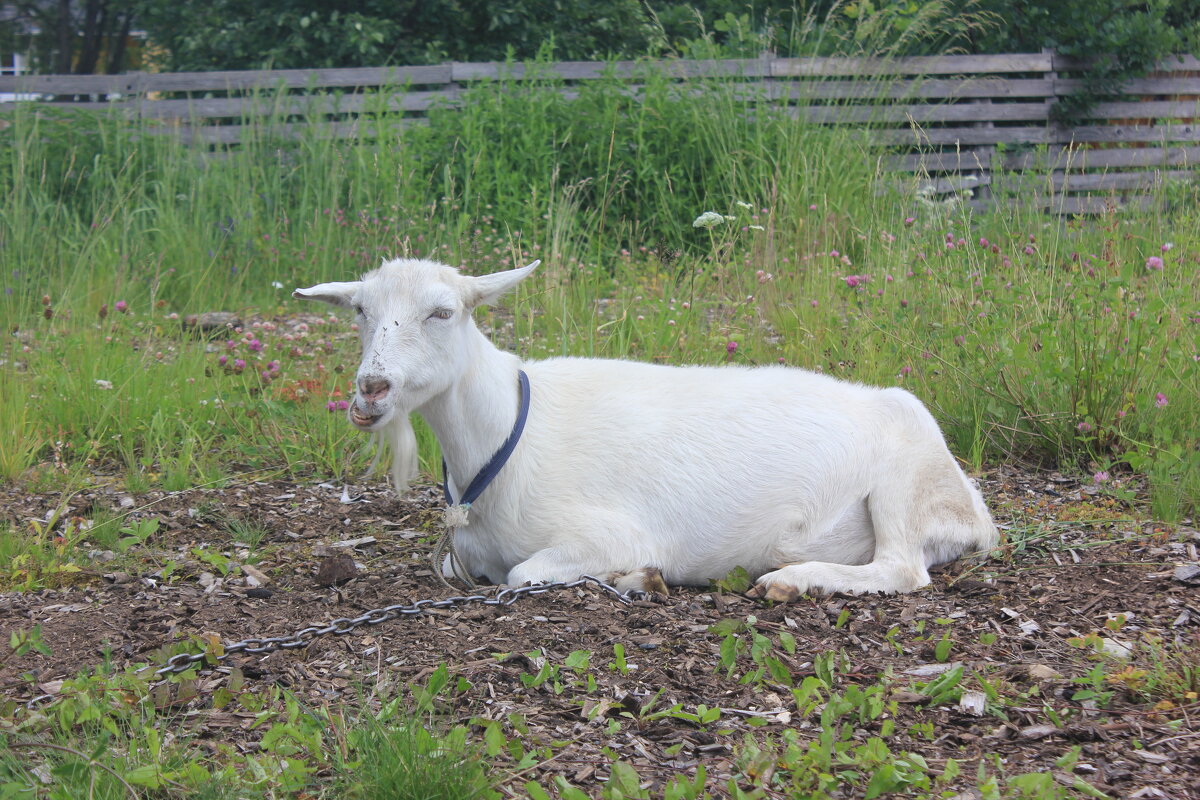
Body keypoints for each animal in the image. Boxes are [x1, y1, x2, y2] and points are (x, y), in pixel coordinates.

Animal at [295, 260, 998, 597]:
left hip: (903, 481)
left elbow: (526, 575)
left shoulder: (607, 532)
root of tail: (972, 514)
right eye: (360, 310)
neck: (505, 438)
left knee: (903, 569)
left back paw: (792, 580)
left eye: (442, 312)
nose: (371, 389)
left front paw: (638, 576)